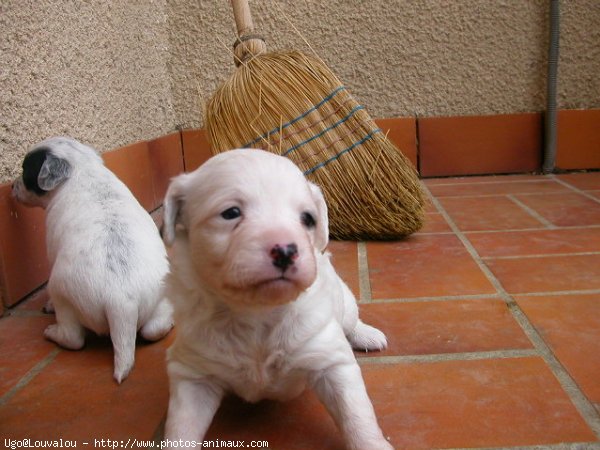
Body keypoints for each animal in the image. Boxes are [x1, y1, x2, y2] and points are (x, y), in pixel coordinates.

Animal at [12, 137, 173, 384]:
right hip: (159, 303)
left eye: (25, 170)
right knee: (153, 329)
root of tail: (121, 301)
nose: (11, 186)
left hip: (63, 295)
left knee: (73, 338)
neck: (83, 168)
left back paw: (52, 332)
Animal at [162, 149, 392, 448]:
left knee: (351, 321)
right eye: (231, 213)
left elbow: (357, 415)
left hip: (346, 301)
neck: (257, 312)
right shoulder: (192, 372)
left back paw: (368, 335)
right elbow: (182, 428)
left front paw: (372, 442)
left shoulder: (329, 359)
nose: (285, 250)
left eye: (307, 218)